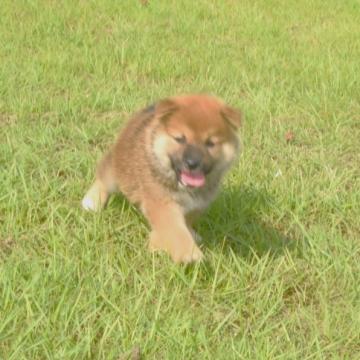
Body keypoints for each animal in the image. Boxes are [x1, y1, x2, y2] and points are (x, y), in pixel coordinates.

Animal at [82, 95, 242, 264]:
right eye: (180, 139)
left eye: (210, 143)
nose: (192, 163)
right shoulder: (162, 203)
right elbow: (175, 231)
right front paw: (188, 254)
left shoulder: (198, 204)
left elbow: (184, 222)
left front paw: (166, 241)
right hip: (119, 168)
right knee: (104, 176)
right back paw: (92, 201)